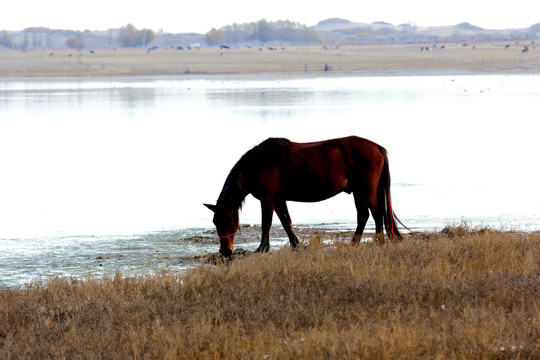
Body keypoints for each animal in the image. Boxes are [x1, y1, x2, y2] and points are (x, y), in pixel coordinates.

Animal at [207, 136, 404, 256]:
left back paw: (378, 242)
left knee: (377, 214)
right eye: (215, 222)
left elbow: (266, 224)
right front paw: (296, 245)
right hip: (358, 192)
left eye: (230, 220)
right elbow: (286, 221)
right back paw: (354, 243)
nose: (225, 251)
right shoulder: (279, 199)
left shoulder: (268, 199)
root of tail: (376, 146)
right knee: (363, 216)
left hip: (366, 190)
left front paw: (263, 248)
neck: (257, 164)